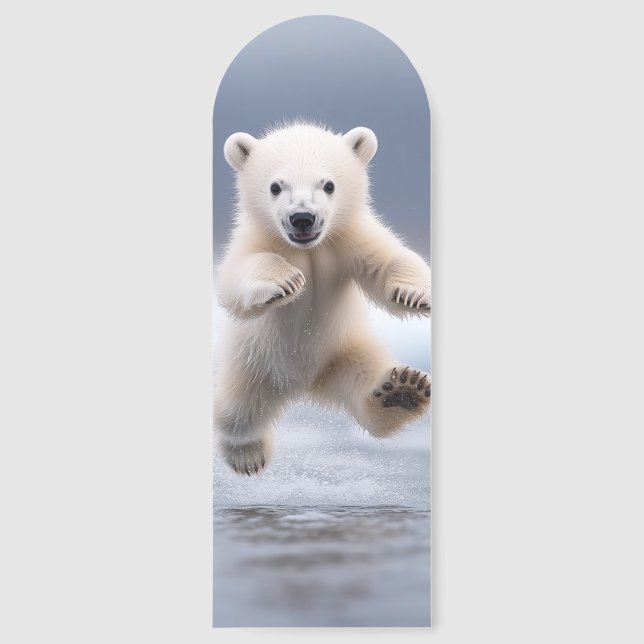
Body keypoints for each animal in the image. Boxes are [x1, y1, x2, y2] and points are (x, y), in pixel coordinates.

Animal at [214, 123, 431, 475]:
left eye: (328, 184)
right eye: (276, 186)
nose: (303, 217)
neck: (308, 249)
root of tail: (303, 384)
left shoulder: (347, 240)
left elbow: (387, 259)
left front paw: (413, 293)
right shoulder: (260, 238)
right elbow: (238, 276)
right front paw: (285, 281)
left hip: (345, 352)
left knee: (367, 384)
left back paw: (403, 392)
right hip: (252, 363)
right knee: (235, 413)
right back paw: (248, 455)